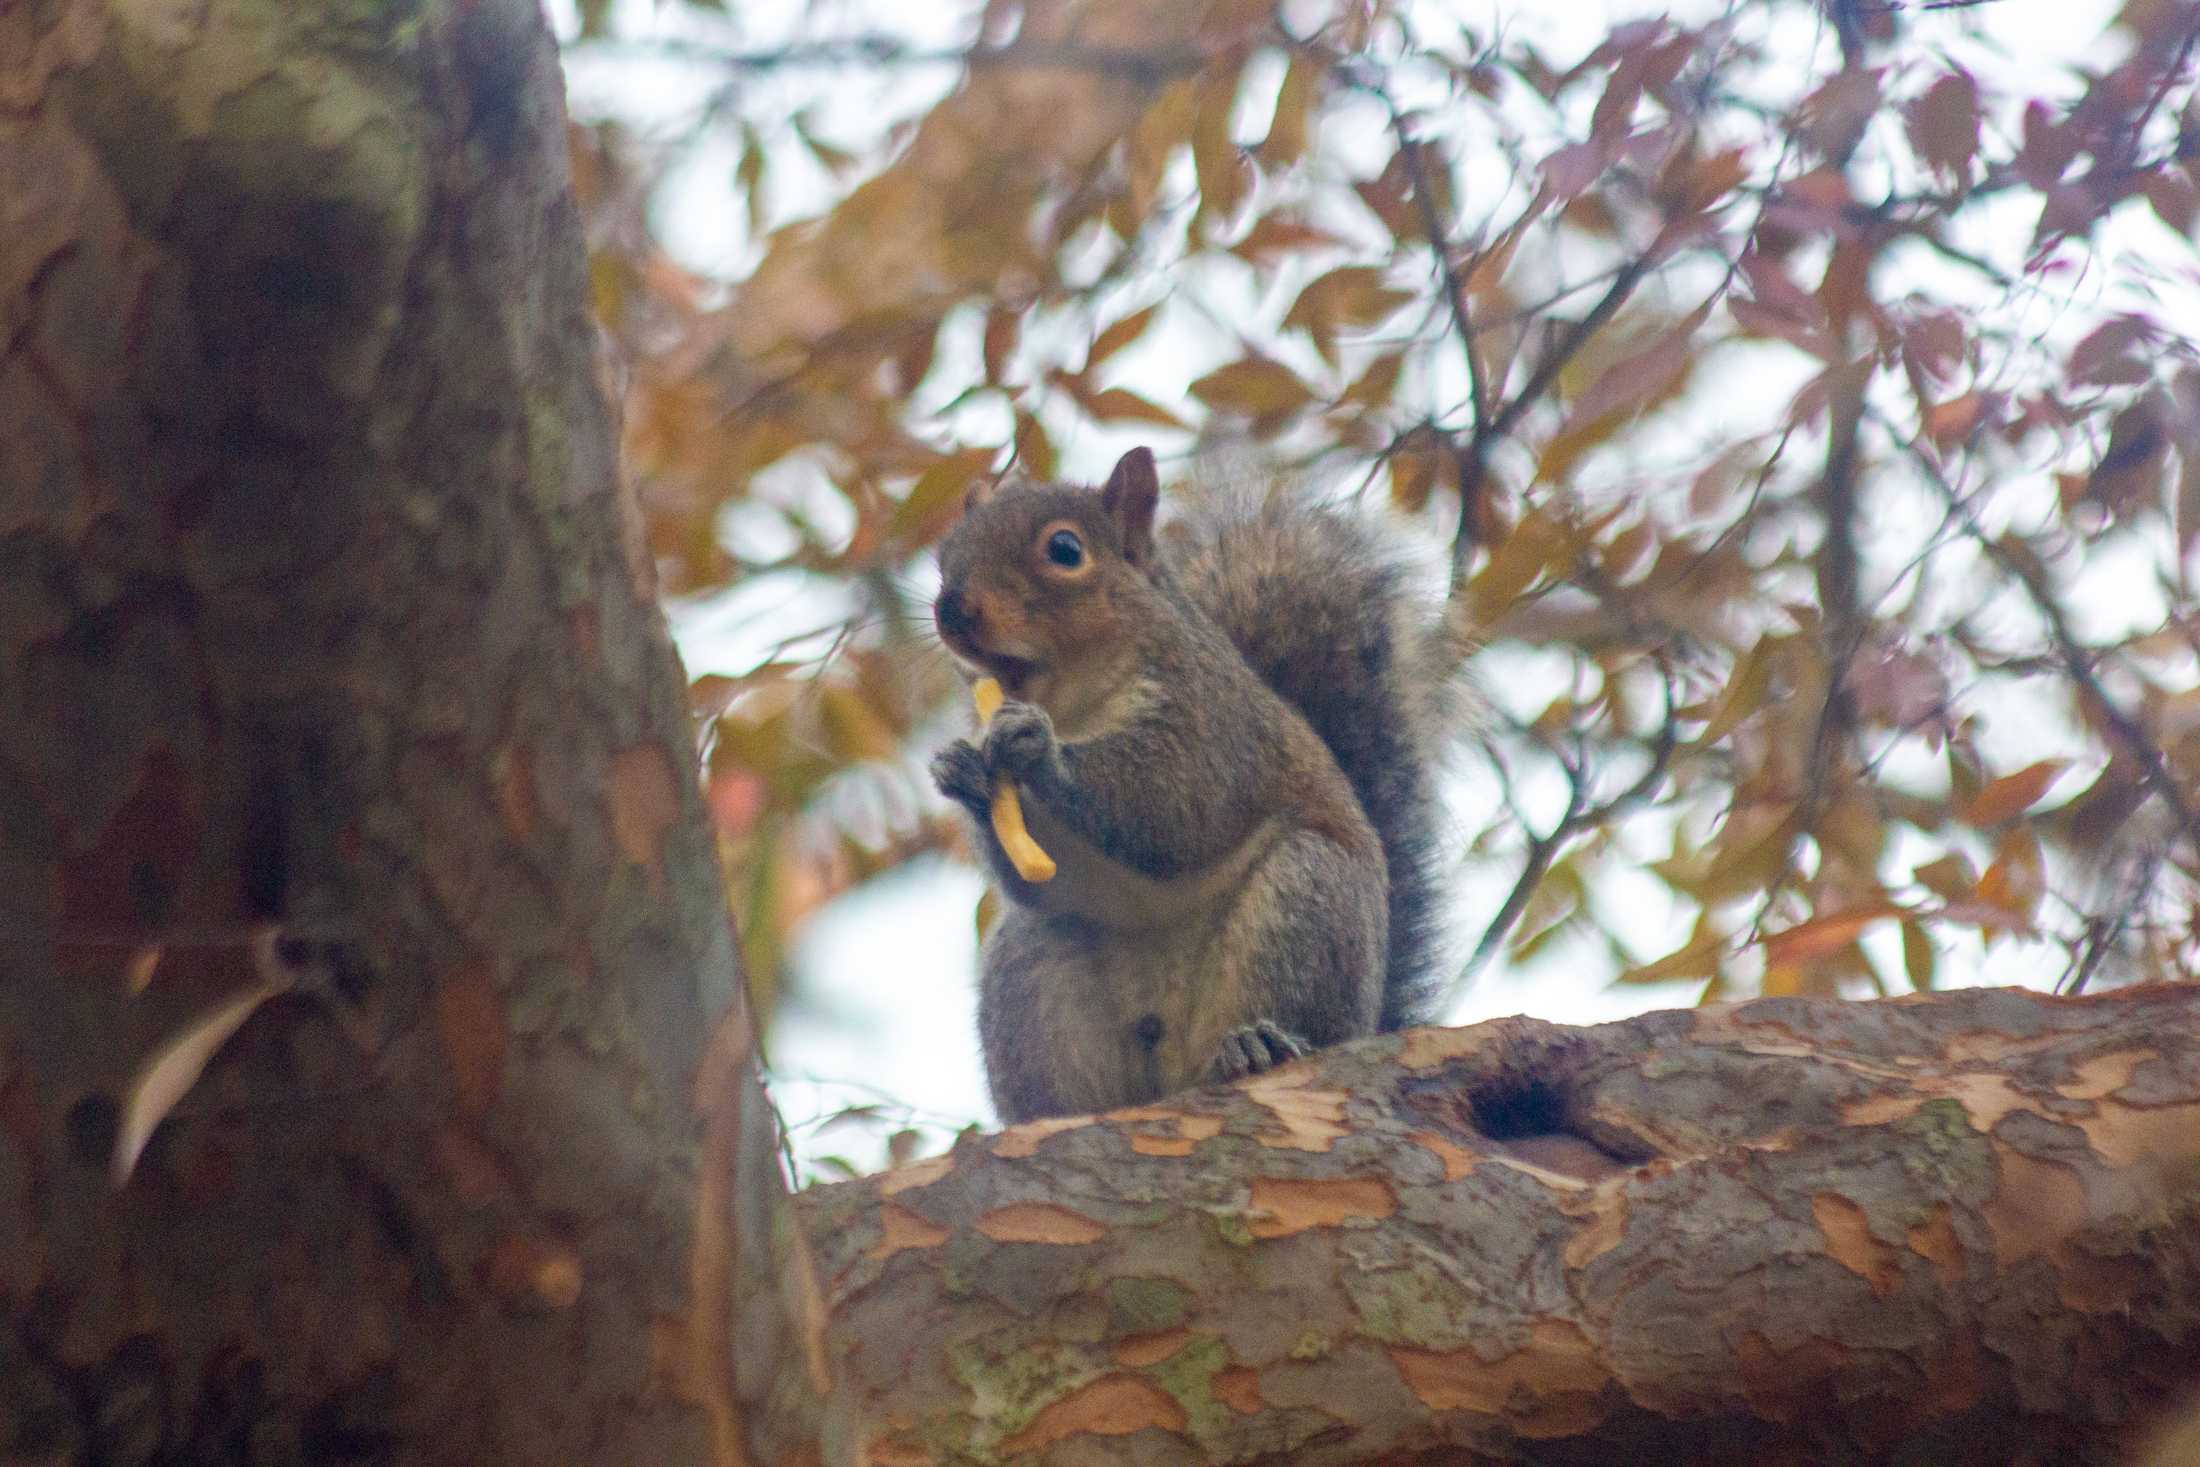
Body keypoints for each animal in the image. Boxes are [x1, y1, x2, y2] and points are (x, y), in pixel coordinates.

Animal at [928, 448, 1460, 1126]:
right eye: (945, 556)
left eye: (1065, 550)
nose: (952, 610)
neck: (1069, 701)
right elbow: (1036, 878)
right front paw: (961, 772)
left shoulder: (1211, 721)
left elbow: (1175, 803)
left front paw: (1040, 749)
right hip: (1033, 966)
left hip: (1307, 904)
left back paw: (1256, 1046)